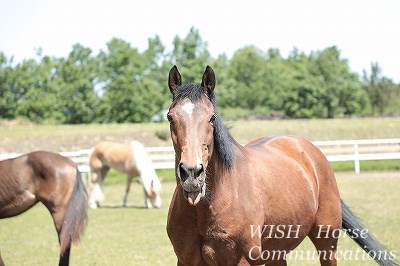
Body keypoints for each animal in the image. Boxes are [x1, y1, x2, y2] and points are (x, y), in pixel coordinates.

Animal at [165, 65, 396, 264]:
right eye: (170, 117)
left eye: (212, 118)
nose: (192, 173)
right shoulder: (185, 261)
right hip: (276, 253)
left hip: (327, 241)